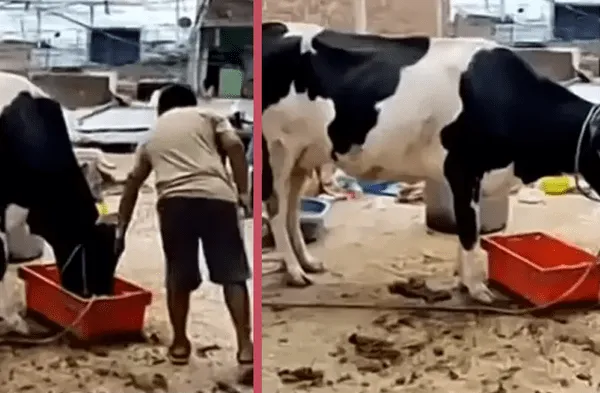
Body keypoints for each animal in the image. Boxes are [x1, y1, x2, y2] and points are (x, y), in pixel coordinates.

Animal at [264, 21, 600, 304]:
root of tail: (275, 27)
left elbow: (468, 227)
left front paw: (464, 280)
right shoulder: (463, 168)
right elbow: (469, 230)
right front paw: (476, 288)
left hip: (303, 155)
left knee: (292, 209)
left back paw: (307, 262)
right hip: (278, 150)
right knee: (276, 209)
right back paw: (295, 272)